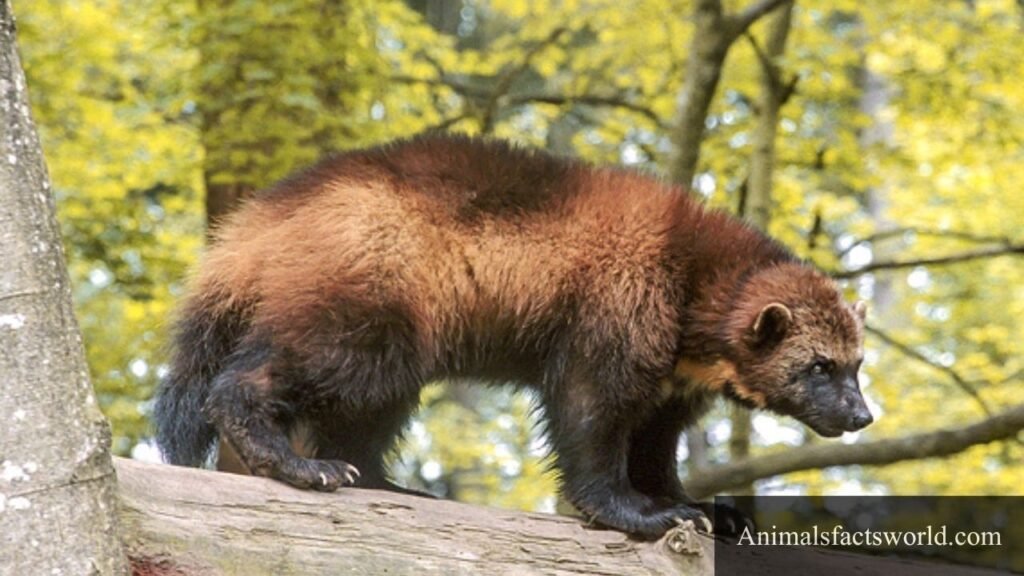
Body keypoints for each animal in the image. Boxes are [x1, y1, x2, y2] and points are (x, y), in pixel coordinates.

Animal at [153, 134, 873, 539]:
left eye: (857, 363)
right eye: (819, 366)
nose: (862, 415)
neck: (692, 272)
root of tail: (257, 223)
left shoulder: (671, 385)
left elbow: (655, 447)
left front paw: (697, 507)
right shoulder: (611, 318)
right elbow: (591, 421)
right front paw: (639, 515)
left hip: (393, 350)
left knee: (363, 417)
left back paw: (387, 484)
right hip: (364, 319)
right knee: (254, 378)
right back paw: (298, 463)